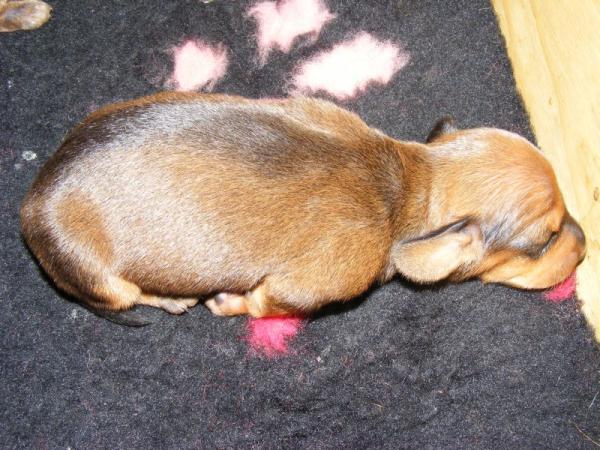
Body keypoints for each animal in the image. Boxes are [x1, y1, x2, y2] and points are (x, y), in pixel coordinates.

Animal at [20, 93, 586, 321]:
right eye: (544, 241)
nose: (584, 244)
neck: (410, 182)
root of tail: (31, 204)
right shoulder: (306, 284)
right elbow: (265, 302)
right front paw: (231, 304)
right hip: (102, 278)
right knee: (130, 295)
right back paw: (170, 299)